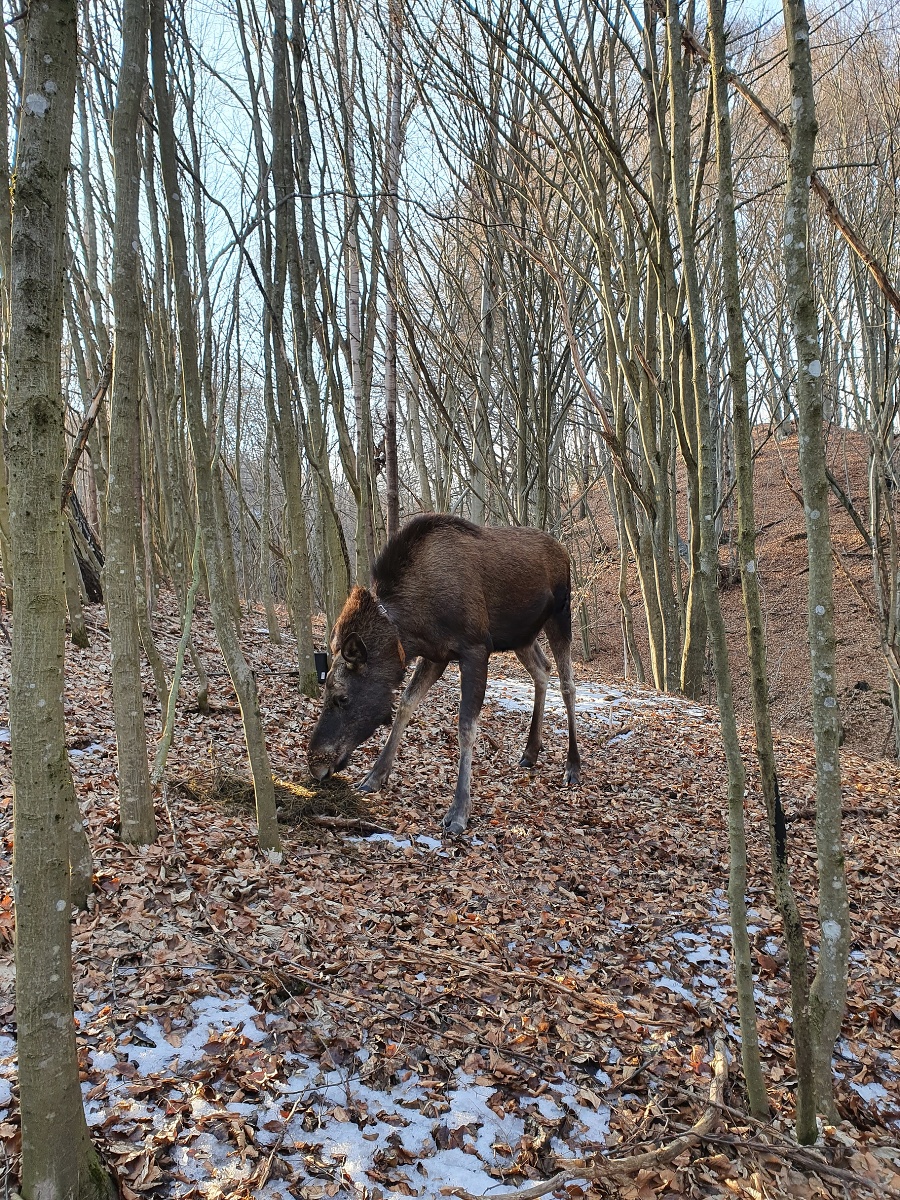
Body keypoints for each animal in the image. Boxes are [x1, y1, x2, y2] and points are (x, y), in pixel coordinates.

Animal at [307, 516, 580, 835]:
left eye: (342, 697)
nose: (315, 765)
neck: (411, 627)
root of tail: (564, 550)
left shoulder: (475, 649)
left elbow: (466, 726)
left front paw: (459, 811)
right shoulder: (435, 656)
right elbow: (405, 704)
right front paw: (374, 776)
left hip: (561, 613)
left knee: (568, 684)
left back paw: (573, 766)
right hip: (522, 636)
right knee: (542, 670)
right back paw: (530, 751)